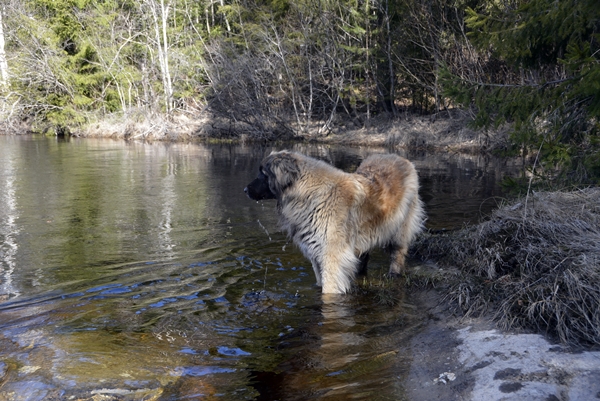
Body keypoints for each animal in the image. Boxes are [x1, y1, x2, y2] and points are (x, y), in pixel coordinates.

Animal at [241, 150, 424, 294]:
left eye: (263, 174)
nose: (245, 190)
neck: (309, 194)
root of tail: (401, 158)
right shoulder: (316, 254)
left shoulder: (332, 255)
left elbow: (329, 288)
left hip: (399, 228)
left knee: (398, 253)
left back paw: (393, 274)